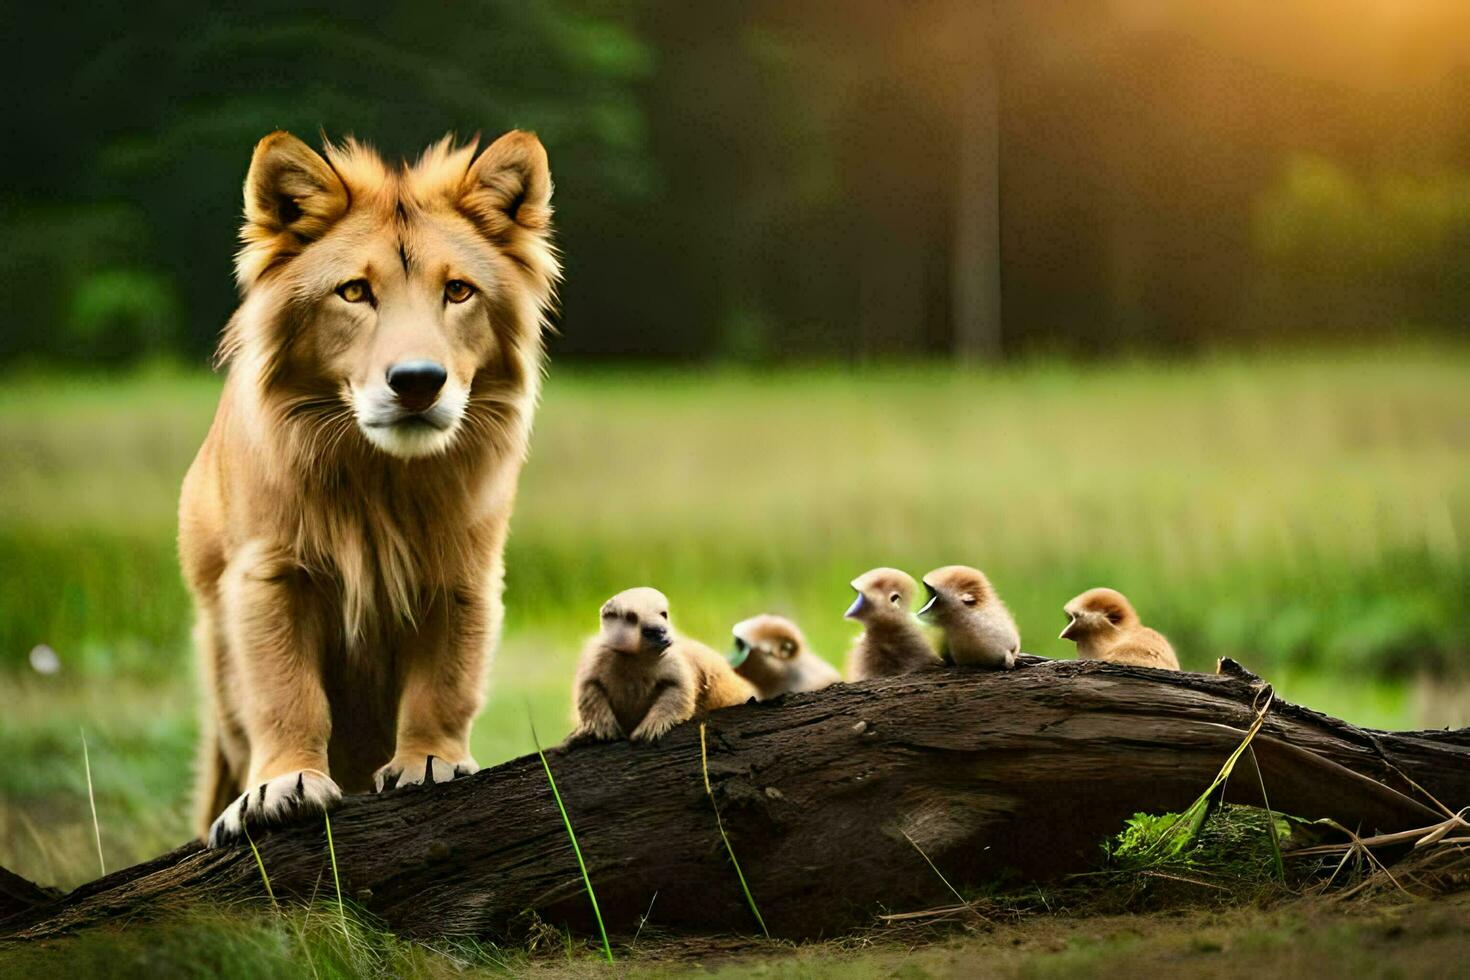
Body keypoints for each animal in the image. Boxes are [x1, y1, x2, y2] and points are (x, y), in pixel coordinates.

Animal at [177, 128, 555, 846]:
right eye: (354, 292)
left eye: (458, 291)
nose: (418, 381)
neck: (380, 479)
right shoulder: (268, 573)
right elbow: (285, 692)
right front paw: (282, 786)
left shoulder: (464, 573)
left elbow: (445, 682)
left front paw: (430, 763)